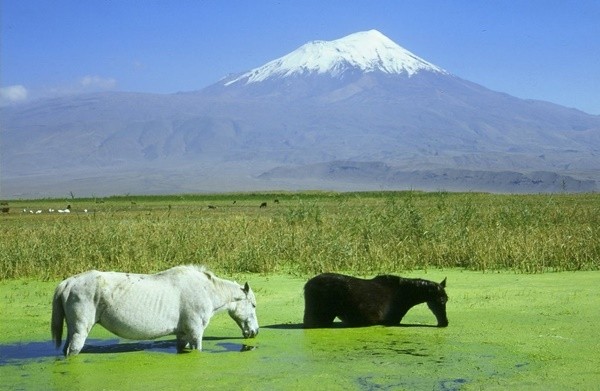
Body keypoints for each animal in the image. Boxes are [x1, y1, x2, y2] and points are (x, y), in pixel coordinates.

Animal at [51, 264, 258, 356]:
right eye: (254, 305)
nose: (255, 331)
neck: (206, 290)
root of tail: (68, 283)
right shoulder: (195, 332)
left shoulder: (183, 334)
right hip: (80, 331)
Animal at [302, 274, 448, 330]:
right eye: (441, 300)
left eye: (447, 299)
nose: (445, 322)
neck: (404, 297)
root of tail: (306, 286)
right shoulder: (389, 321)